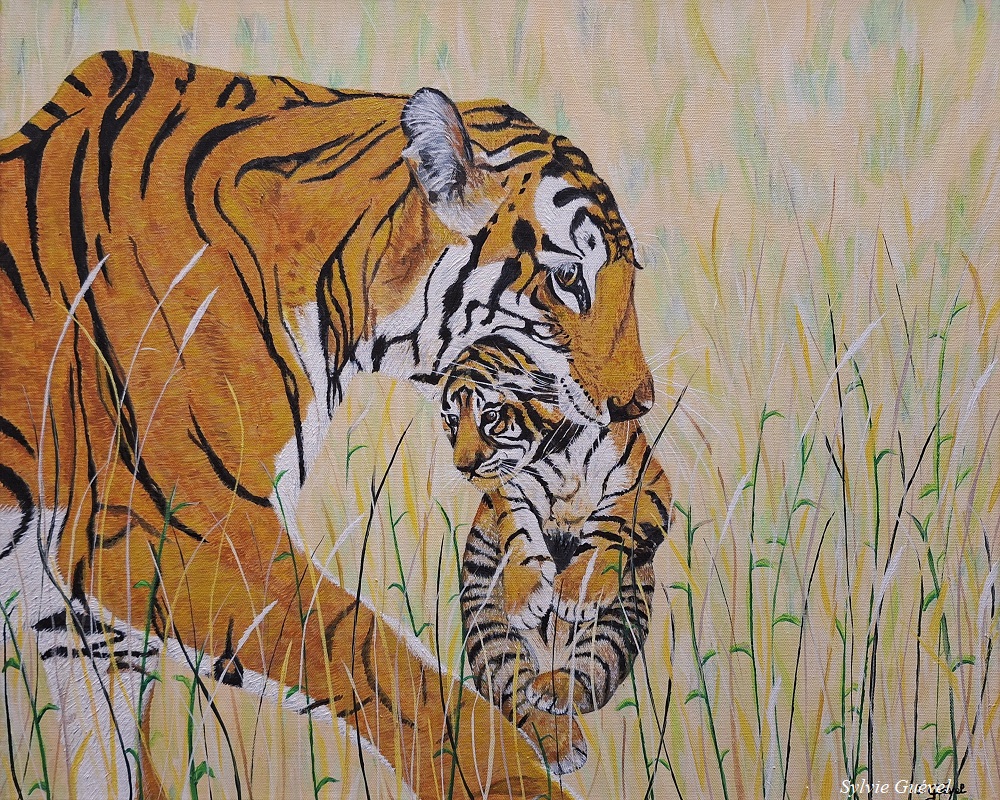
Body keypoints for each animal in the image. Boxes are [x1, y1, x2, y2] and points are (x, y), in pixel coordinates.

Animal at [441, 340, 672, 774]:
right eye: (450, 421)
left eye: (490, 416)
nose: (464, 468)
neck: (560, 446)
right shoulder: (510, 487)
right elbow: (518, 529)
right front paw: (529, 597)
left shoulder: (646, 484)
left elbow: (609, 526)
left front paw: (575, 592)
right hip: (488, 625)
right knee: (517, 689)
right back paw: (558, 744)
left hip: (621, 617)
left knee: (587, 670)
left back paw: (557, 689)